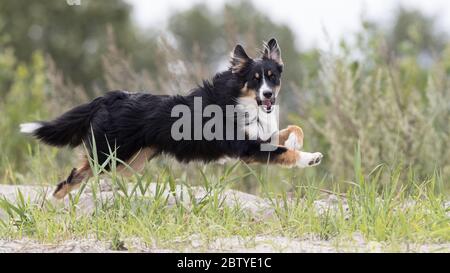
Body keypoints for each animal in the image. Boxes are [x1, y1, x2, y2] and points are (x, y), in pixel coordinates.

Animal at [21, 38, 322, 198]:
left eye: (272, 77)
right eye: (255, 79)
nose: (268, 95)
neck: (242, 100)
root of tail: (111, 96)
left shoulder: (259, 135)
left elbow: (293, 130)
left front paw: (296, 141)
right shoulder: (248, 148)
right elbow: (286, 153)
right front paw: (310, 158)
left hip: (128, 161)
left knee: (80, 177)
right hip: (107, 156)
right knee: (71, 177)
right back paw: (54, 206)